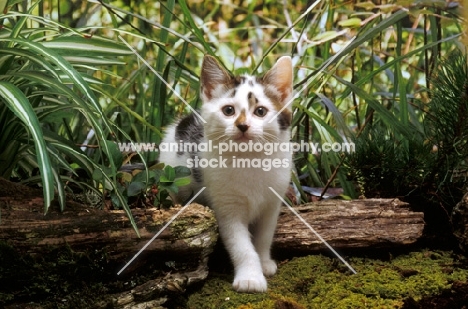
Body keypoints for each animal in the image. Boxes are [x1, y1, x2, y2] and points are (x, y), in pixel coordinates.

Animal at [160, 54, 292, 292]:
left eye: (260, 111)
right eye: (229, 110)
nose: (243, 125)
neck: (249, 160)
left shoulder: (272, 202)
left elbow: (264, 236)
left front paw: (264, 262)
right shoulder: (227, 207)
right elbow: (240, 244)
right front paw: (251, 278)